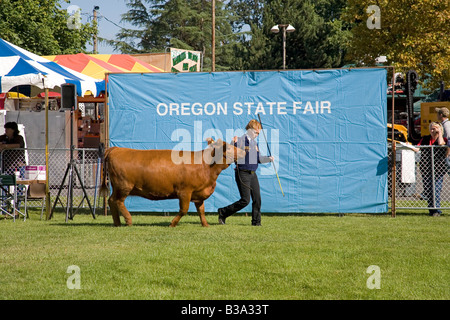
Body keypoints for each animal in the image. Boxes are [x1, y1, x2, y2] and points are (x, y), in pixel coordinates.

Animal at [100, 139, 244, 226]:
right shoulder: (185, 191)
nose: (244, 151)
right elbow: (184, 210)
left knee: (111, 200)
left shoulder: (198, 193)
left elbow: (201, 210)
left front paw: (205, 224)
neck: (205, 166)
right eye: (229, 148)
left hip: (118, 187)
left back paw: (117, 223)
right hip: (124, 186)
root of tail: (116, 149)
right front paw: (172, 223)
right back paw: (128, 220)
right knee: (118, 201)